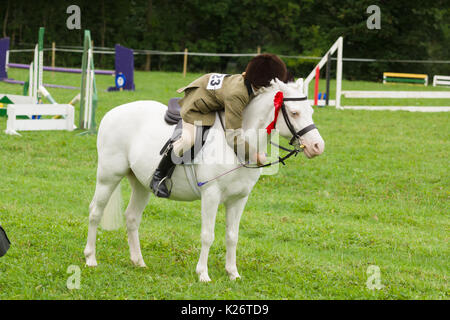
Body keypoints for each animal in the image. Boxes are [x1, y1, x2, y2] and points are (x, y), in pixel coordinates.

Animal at [84, 79, 324, 282]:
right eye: (294, 113)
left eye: (311, 111)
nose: (317, 147)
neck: (236, 145)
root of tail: (112, 113)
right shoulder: (211, 195)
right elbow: (208, 235)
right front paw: (203, 274)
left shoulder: (239, 199)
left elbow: (232, 236)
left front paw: (233, 273)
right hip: (108, 177)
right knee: (95, 212)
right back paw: (91, 258)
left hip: (142, 184)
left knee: (132, 217)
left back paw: (139, 262)